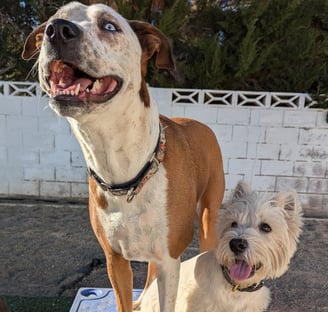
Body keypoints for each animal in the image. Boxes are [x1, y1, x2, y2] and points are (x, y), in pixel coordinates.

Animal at [22, 1, 226, 310]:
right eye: (55, 18)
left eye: (109, 25)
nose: (57, 30)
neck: (125, 171)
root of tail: (200, 123)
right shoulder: (115, 260)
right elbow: (124, 300)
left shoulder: (170, 260)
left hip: (207, 219)